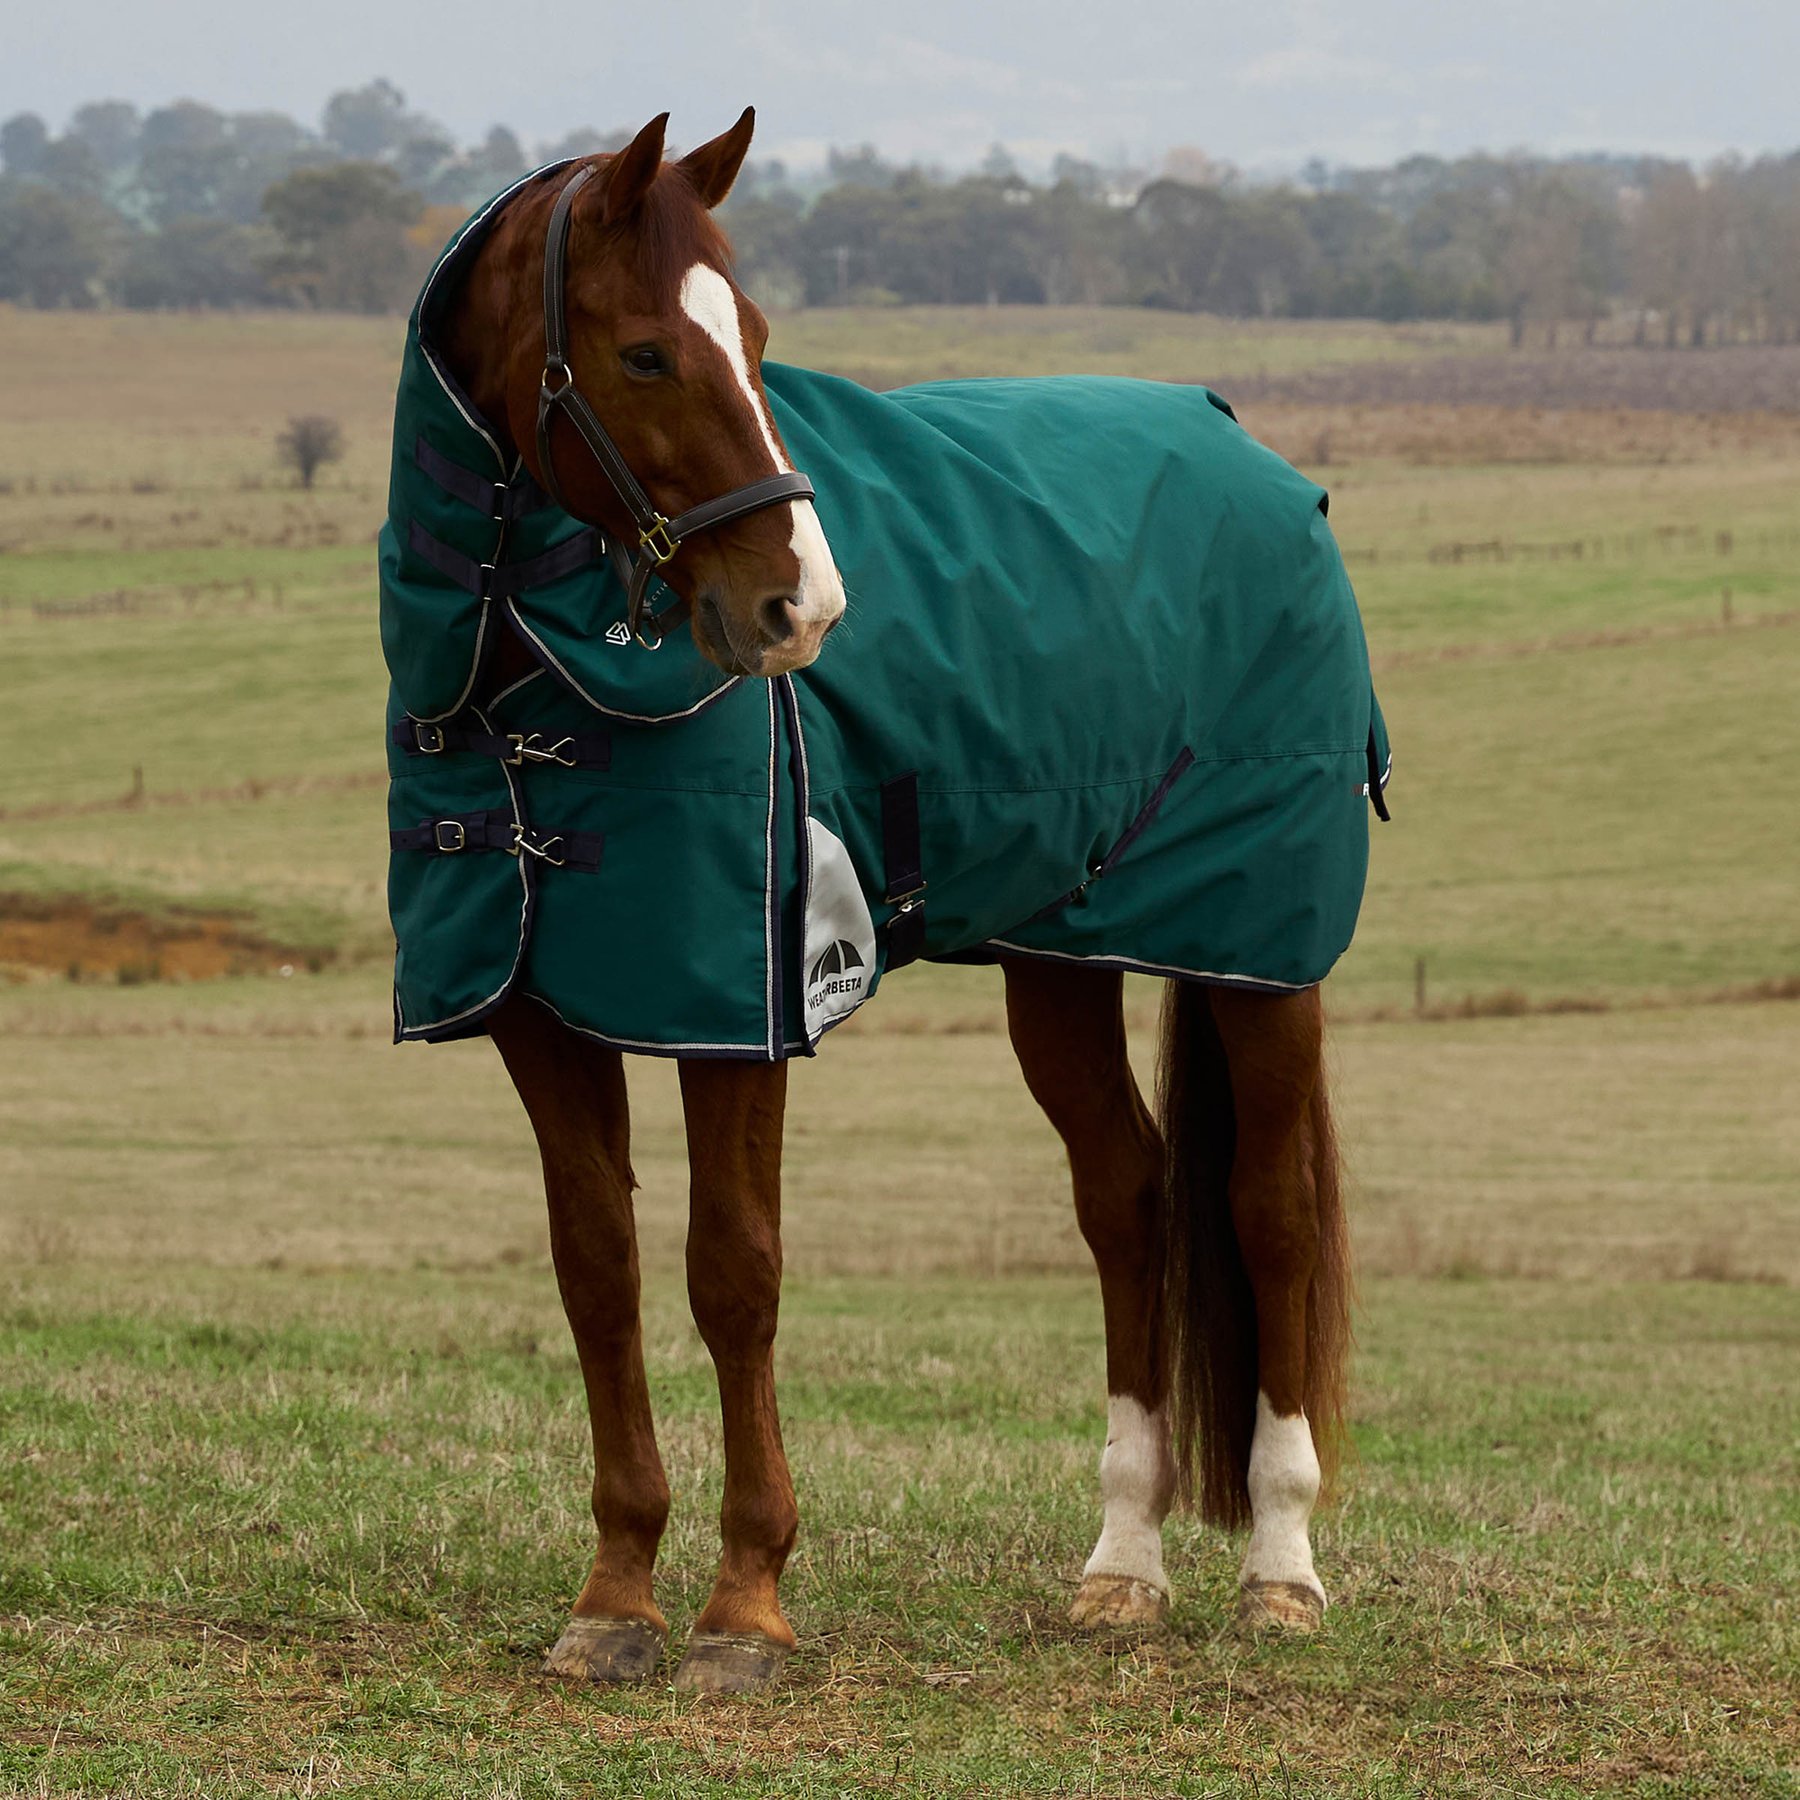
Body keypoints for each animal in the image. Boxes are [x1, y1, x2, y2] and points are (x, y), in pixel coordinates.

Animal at [418, 109, 1354, 1696]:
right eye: (644, 354)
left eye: (757, 338)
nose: (802, 608)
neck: (529, 692)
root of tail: (1238, 442)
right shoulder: (545, 1019)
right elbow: (599, 1273)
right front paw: (615, 1598)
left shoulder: (742, 1012)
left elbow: (732, 1272)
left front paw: (744, 1607)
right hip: (1063, 957)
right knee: (1130, 1199)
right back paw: (1124, 1561)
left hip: (1259, 956)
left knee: (1267, 1209)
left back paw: (1280, 1566)